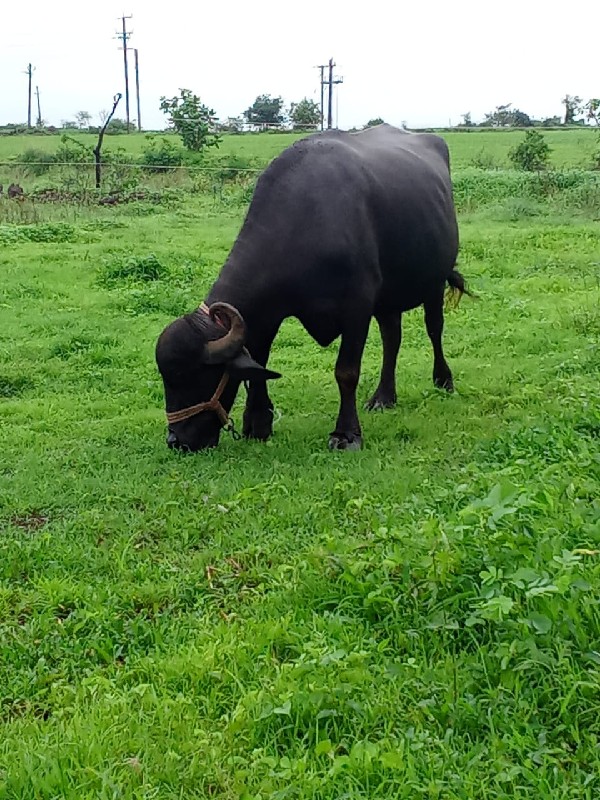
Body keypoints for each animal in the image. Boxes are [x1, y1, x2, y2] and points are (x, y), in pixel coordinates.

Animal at [155, 123, 468, 450]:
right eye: (166, 377)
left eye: (195, 376)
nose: (175, 439)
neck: (307, 223)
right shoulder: (267, 314)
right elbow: (259, 364)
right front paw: (257, 422)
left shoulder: (357, 307)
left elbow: (346, 372)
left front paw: (346, 434)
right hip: (388, 299)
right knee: (392, 338)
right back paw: (383, 396)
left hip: (434, 281)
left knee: (434, 328)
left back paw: (443, 380)